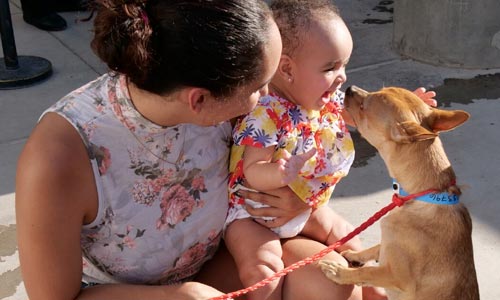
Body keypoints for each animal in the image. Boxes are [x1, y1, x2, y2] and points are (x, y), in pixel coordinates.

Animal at [318, 86, 478, 300]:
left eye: (363, 107)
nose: (350, 88)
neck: (421, 196)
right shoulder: (387, 246)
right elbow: (377, 247)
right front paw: (355, 255)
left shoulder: (395, 276)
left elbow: (366, 272)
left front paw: (338, 272)